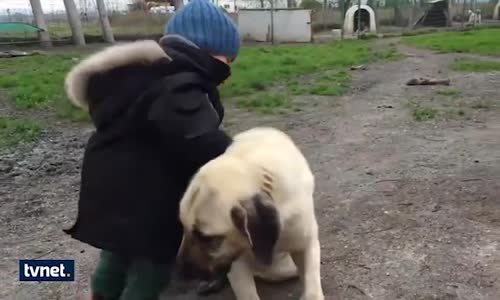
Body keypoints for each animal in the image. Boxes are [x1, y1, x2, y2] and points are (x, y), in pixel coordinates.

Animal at [176, 127, 324, 300]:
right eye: (183, 228)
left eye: (207, 238)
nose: (180, 274)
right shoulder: (235, 261)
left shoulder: (305, 244)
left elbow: (312, 287)